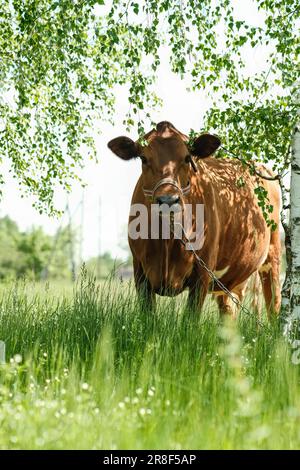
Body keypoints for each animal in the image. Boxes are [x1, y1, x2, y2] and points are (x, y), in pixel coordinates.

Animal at [108, 122, 282, 320]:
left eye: (187, 158)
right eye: (144, 158)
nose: (168, 200)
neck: (166, 239)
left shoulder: (202, 273)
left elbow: (190, 319)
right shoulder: (140, 271)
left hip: (272, 255)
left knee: (274, 305)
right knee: (229, 310)